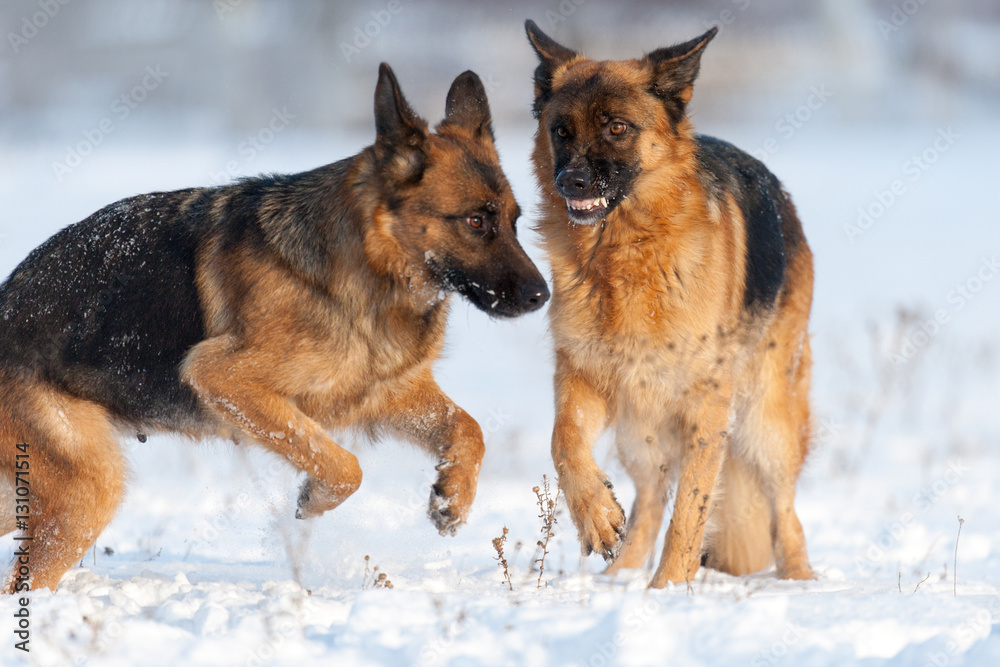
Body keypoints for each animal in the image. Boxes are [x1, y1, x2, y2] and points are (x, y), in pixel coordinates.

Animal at [0, 65, 548, 592]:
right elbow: (345, 466)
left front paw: (453, 497)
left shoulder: (384, 391)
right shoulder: (224, 379)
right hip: (88, 491)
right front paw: (313, 498)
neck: (369, 266)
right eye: (476, 221)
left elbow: (469, 429)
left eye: (516, 220)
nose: (542, 296)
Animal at [524, 20, 812, 588]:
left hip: (764, 422)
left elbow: (691, 513)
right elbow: (564, 443)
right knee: (650, 501)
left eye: (617, 127)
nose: (571, 182)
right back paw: (616, 579)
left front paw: (670, 591)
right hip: (642, 429)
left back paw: (802, 581)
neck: (623, 257)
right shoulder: (584, 377)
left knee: (785, 512)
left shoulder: (707, 409)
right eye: (560, 131)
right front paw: (596, 516)